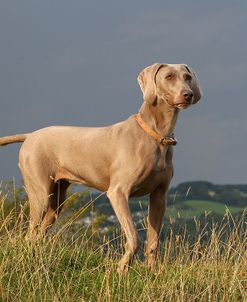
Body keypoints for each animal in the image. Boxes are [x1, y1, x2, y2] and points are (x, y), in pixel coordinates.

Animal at [0, 64, 202, 274]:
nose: (188, 94)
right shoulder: (118, 193)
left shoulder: (159, 196)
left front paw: (151, 272)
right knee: (30, 232)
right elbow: (134, 237)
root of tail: (30, 135)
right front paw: (122, 268)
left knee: (40, 233)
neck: (156, 135)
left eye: (187, 77)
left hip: (57, 200)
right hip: (40, 193)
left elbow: (153, 240)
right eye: (169, 76)